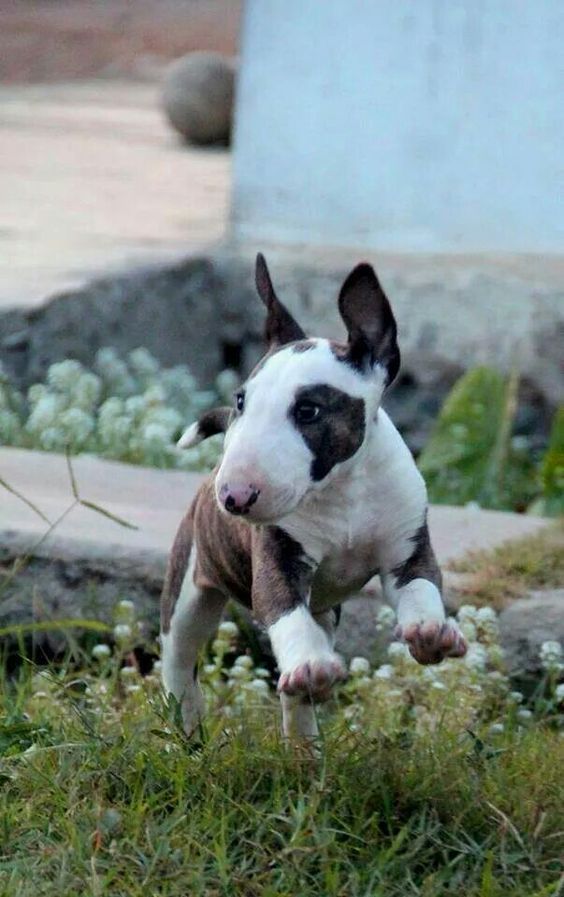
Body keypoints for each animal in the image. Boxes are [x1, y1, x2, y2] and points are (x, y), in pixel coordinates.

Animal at [160, 252, 468, 736]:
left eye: (309, 410)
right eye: (241, 401)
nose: (234, 497)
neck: (343, 492)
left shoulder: (408, 551)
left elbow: (421, 587)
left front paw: (430, 632)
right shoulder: (276, 559)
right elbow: (284, 611)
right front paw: (310, 665)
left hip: (325, 609)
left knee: (298, 689)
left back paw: (305, 739)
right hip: (189, 587)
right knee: (180, 659)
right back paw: (190, 731)